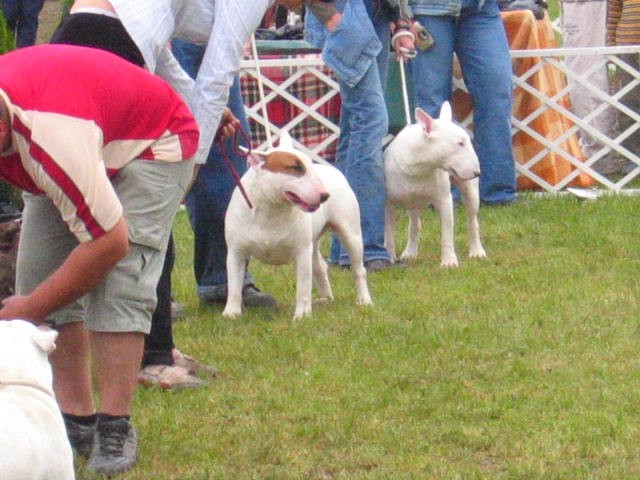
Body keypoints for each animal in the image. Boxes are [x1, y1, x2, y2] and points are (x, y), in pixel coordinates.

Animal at [225, 131, 376, 318]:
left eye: (309, 166)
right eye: (295, 168)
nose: (325, 195)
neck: (271, 209)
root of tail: (333, 169)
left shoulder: (302, 251)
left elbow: (303, 288)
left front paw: (302, 314)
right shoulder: (235, 252)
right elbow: (234, 286)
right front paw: (231, 313)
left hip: (350, 234)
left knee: (358, 270)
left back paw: (364, 300)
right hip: (314, 242)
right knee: (320, 266)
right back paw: (326, 298)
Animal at [382, 101, 488, 268]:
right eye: (460, 143)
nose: (477, 172)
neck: (419, 164)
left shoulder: (444, 200)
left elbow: (447, 234)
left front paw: (449, 262)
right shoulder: (389, 204)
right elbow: (390, 233)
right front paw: (391, 257)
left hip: (470, 192)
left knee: (472, 220)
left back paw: (477, 251)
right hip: (413, 202)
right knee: (415, 224)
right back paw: (410, 253)